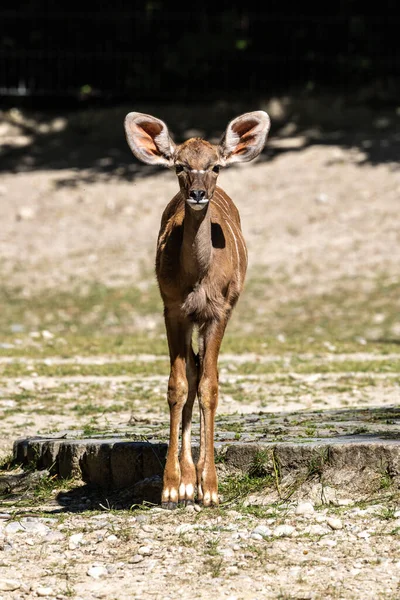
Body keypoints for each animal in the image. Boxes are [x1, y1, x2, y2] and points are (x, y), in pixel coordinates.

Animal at [123, 110, 270, 508]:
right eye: (180, 166)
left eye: (216, 166)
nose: (198, 193)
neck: (198, 279)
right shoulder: (172, 308)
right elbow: (177, 385)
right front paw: (173, 486)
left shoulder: (219, 311)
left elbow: (210, 386)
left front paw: (212, 488)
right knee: (191, 369)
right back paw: (189, 480)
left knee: (204, 371)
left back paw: (201, 478)